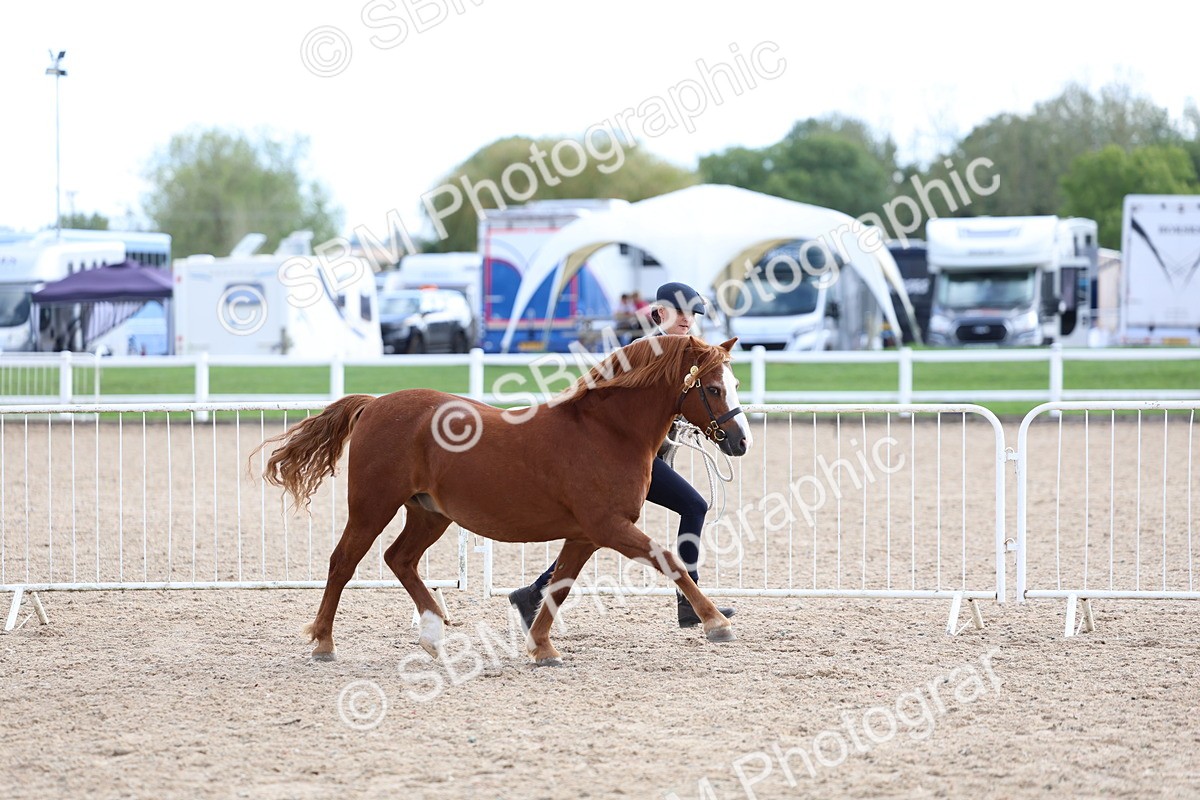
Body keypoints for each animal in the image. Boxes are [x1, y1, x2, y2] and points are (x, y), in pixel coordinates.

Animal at [253, 335, 752, 665]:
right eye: (712, 388)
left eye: (734, 384)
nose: (741, 441)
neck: (607, 431)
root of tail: (374, 403)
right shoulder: (608, 527)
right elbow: (669, 559)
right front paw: (716, 623)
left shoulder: (585, 535)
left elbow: (558, 586)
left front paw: (542, 646)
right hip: (373, 506)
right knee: (343, 562)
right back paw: (323, 642)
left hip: (429, 514)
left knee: (400, 559)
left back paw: (433, 634)